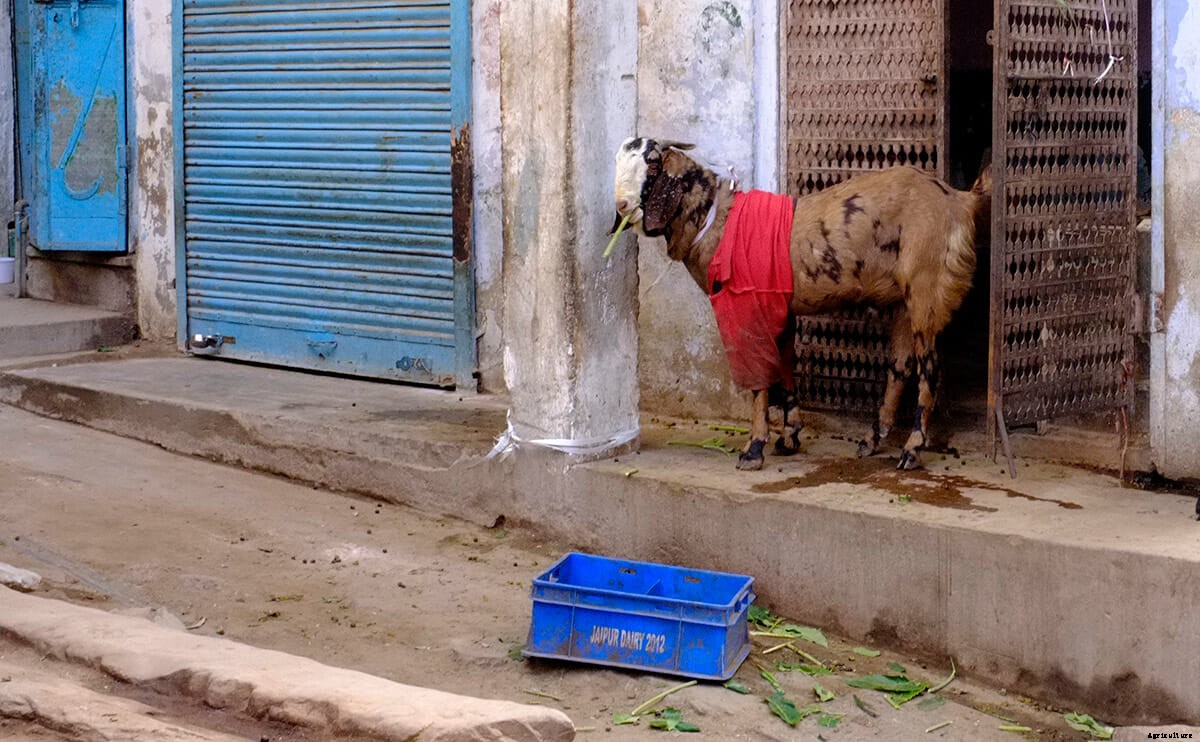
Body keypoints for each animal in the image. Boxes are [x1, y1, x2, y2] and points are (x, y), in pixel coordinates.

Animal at [613, 137, 991, 470]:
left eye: (651, 163)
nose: (621, 207)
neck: (717, 220)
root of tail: (960, 200)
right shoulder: (780, 309)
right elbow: (784, 367)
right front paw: (789, 437)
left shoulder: (747, 310)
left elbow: (759, 378)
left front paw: (754, 449)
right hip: (902, 298)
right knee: (900, 367)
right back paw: (873, 440)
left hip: (925, 288)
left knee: (930, 370)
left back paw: (911, 450)